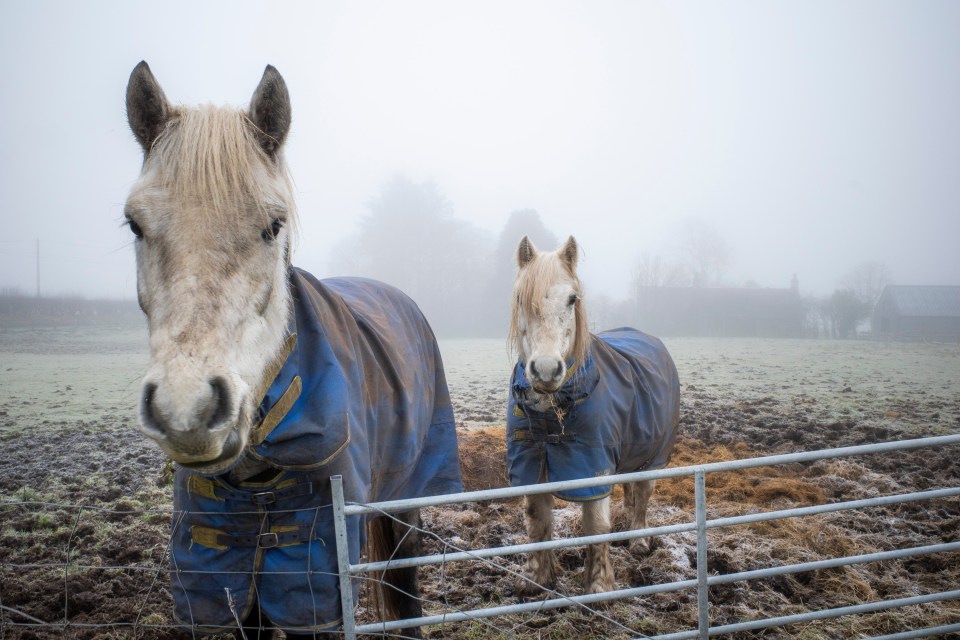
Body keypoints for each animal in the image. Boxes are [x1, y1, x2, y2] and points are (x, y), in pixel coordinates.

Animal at [502, 235, 684, 596]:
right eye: (519, 298)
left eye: (572, 299)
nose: (546, 370)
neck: (553, 415)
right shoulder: (530, 467)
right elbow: (537, 522)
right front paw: (537, 581)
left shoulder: (595, 470)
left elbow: (597, 527)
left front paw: (599, 587)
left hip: (654, 457)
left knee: (643, 494)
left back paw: (639, 542)